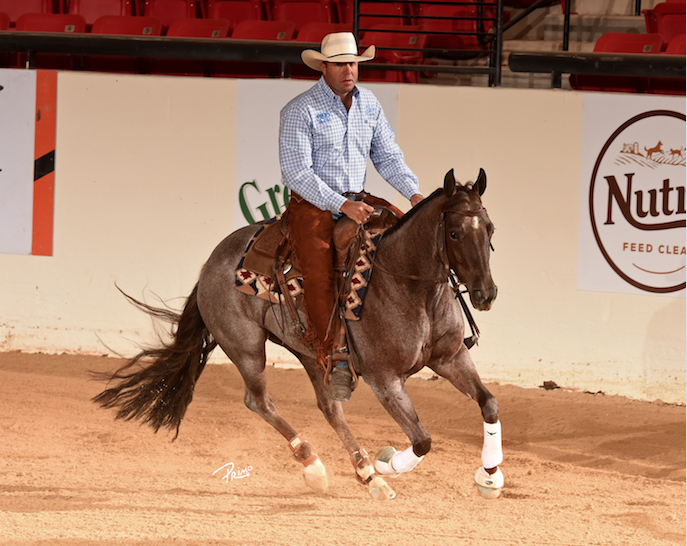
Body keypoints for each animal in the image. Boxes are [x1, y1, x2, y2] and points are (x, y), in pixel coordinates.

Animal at [94, 168, 502, 500]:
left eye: (490, 228)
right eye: (454, 232)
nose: (486, 294)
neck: (406, 284)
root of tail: (210, 262)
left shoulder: (450, 357)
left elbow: (489, 403)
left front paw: (491, 474)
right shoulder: (384, 379)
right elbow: (422, 441)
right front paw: (387, 461)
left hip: (311, 354)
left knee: (330, 408)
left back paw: (367, 475)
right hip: (245, 347)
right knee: (259, 401)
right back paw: (316, 466)